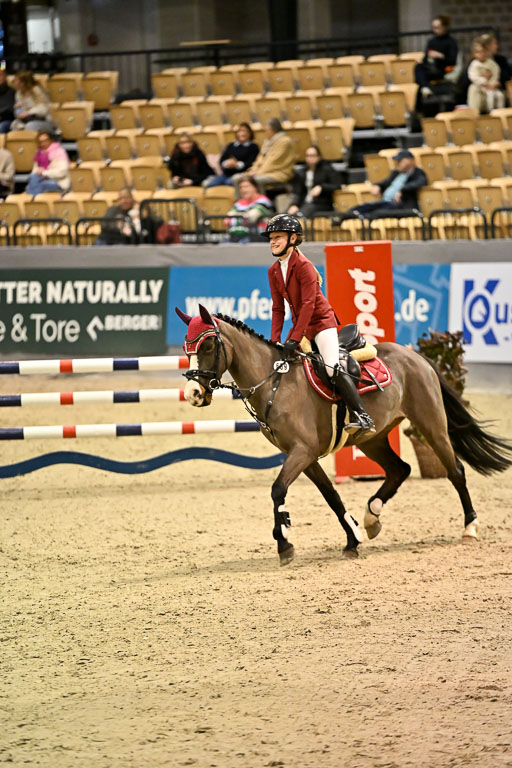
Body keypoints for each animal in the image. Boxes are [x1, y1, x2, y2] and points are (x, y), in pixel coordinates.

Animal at [176, 304, 512, 564]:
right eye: (185, 348)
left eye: (208, 346)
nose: (193, 393)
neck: (274, 383)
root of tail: (414, 356)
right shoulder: (304, 456)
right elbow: (331, 496)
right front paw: (353, 539)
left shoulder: (303, 451)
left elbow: (277, 490)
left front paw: (284, 541)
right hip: (373, 439)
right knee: (399, 469)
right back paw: (372, 517)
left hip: (431, 424)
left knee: (455, 471)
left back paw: (470, 528)